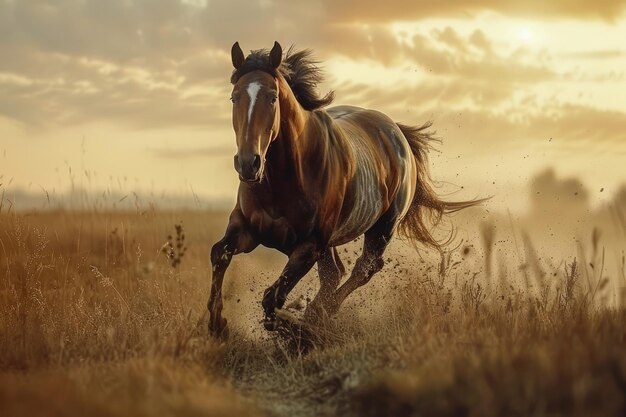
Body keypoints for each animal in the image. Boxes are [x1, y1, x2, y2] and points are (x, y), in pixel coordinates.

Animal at [207, 41, 480, 334]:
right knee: (335, 274)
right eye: (234, 97)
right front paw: (217, 323)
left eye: (272, 97)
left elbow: (273, 298)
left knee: (364, 268)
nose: (248, 164)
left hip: (383, 227)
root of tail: (397, 133)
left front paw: (294, 329)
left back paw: (319, 314)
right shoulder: (246, 228)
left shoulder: (309, 246)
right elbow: (219, 254)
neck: (285, 179)